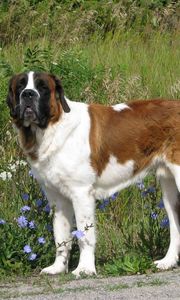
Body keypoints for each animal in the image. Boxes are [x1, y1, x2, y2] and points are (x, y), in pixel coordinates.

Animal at [6, 71, 180, 276]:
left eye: (43, 87)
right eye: (20, 86)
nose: (28, 94)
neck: (51, 128)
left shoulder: (81, 193)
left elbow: (84, 234)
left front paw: (84, 269)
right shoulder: (57, 198)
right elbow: (60, 235)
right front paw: (58, 268)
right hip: (169, 186)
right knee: (175, 223)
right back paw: (167, 262)